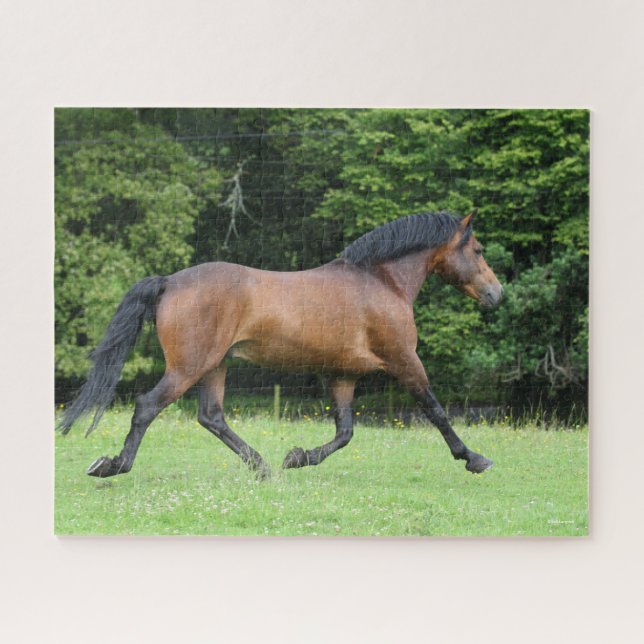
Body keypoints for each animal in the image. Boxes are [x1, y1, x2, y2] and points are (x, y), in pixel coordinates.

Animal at [59, 210, 503, 479]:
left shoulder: (343, 375)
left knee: (211, 417)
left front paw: (297, 457)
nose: (496, 294)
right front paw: (474, 458)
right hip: (188, 368)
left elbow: (345, 432)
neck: (381, 281)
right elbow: (436, 410)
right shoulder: (404, 360)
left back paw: (264, 468)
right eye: (478, 249)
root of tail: (169, 281)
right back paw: (113, 465)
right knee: (148, 407)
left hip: (214, 366)